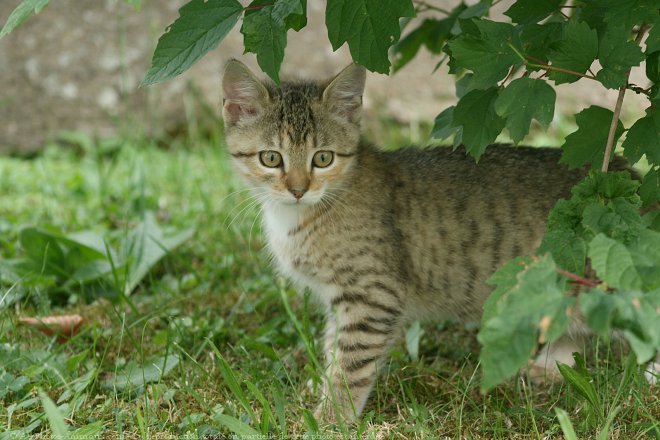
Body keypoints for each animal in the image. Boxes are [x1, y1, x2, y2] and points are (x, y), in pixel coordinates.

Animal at [219, 60, 616, 422]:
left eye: (323, 158)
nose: (299, 190)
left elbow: (352, 363)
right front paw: (321, 389)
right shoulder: (338, 297)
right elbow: (334, 345)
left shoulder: (374, 294)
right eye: (271, 158)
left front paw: (332, 418)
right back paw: (549, 368)